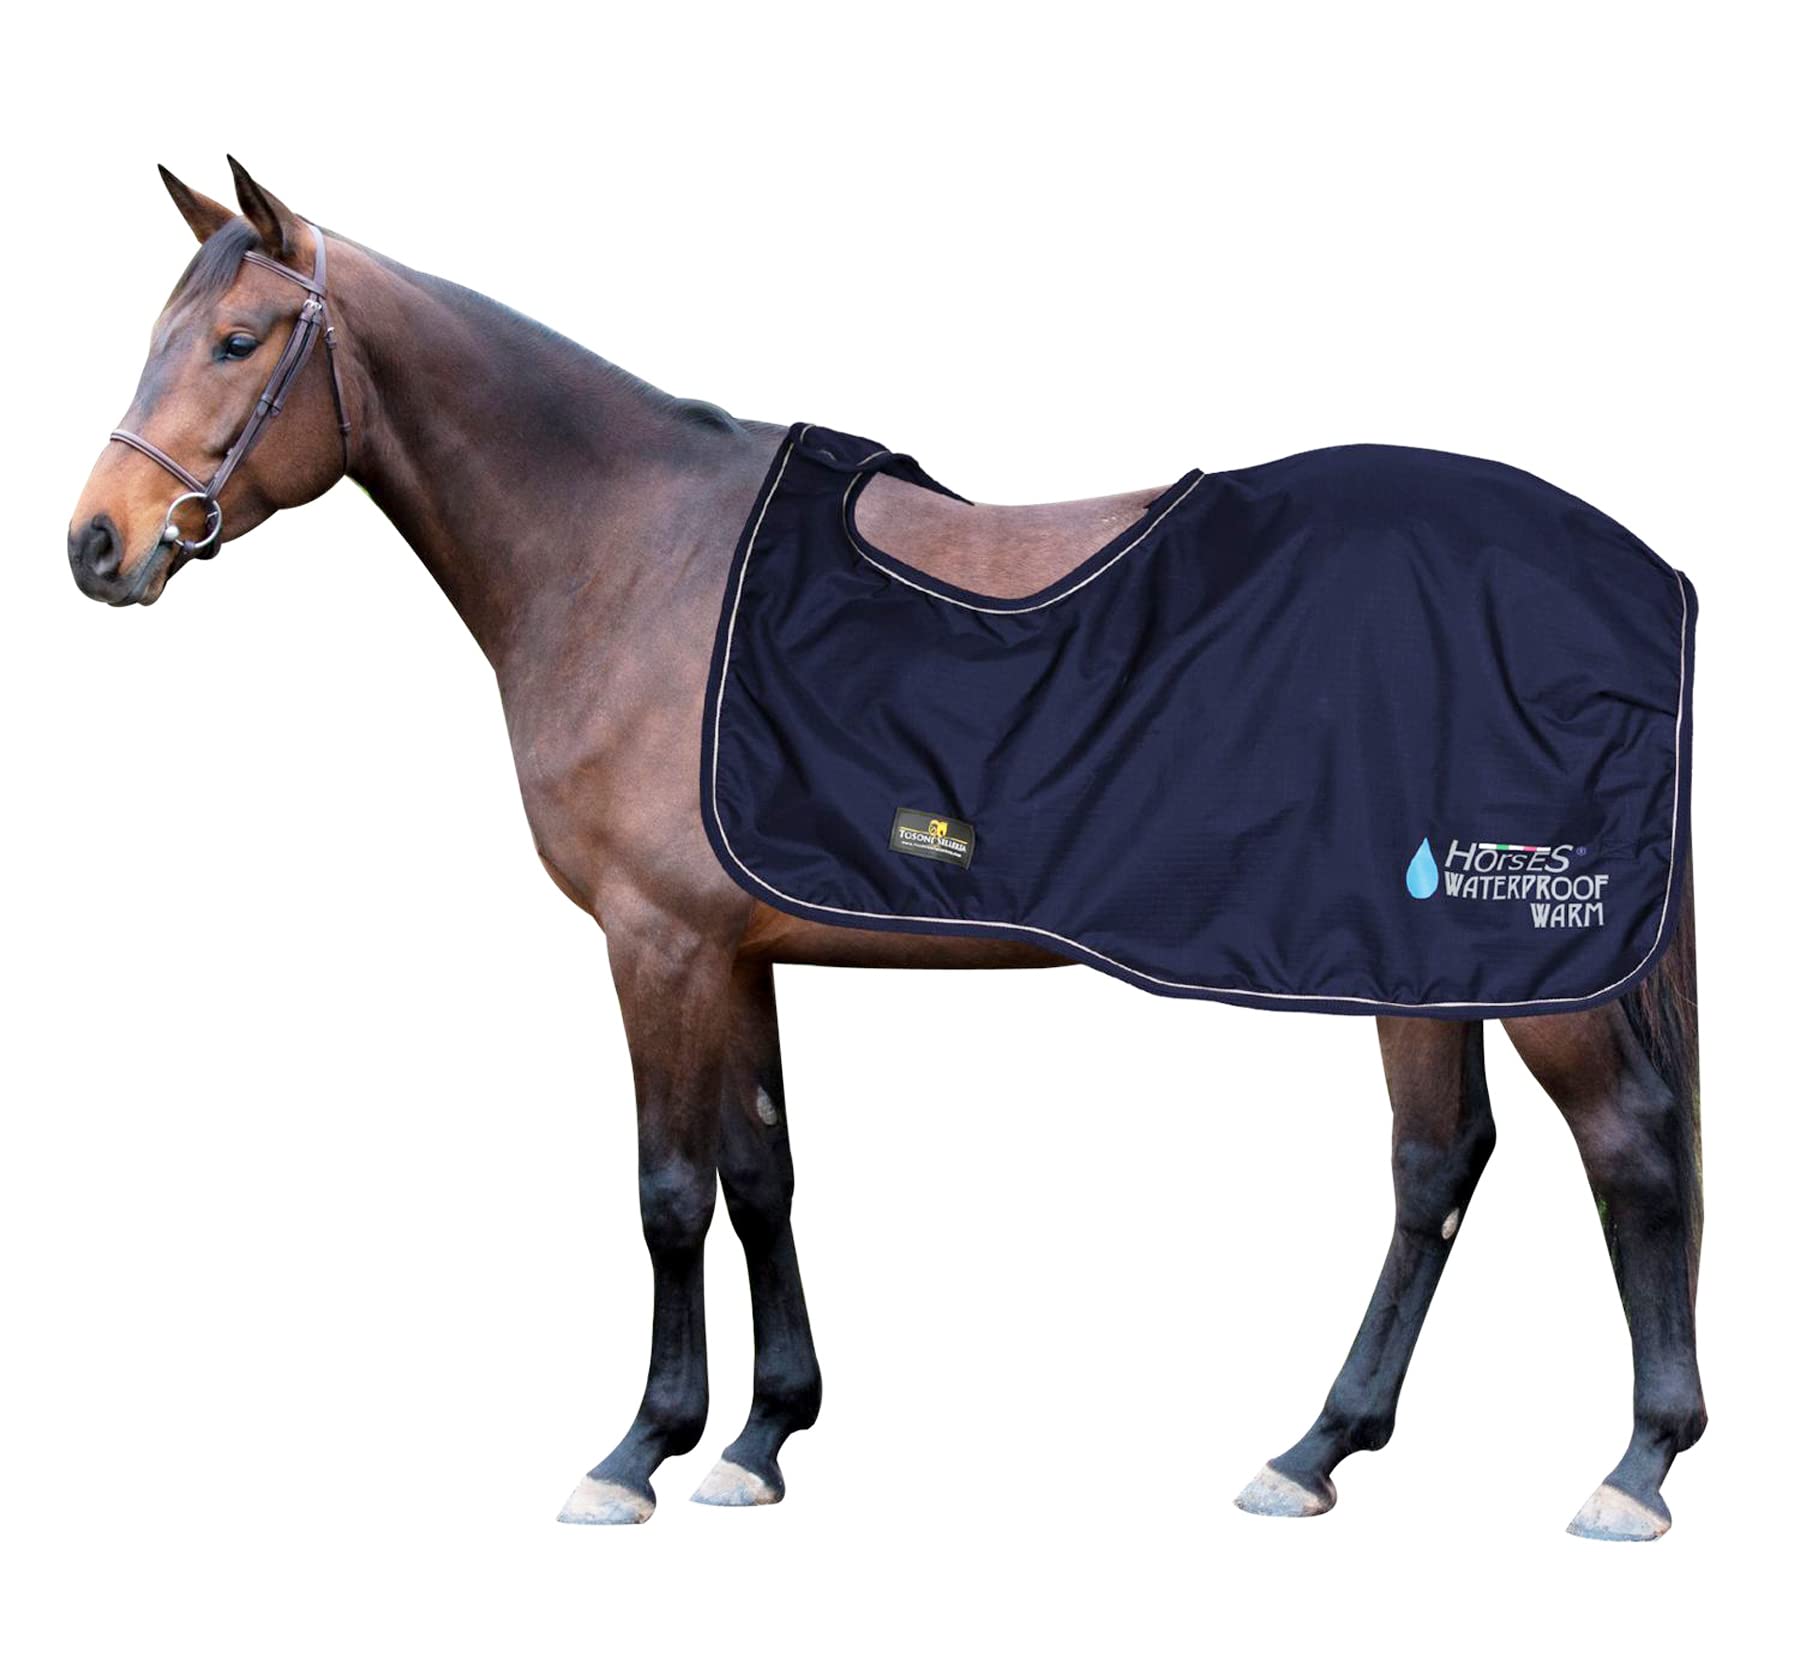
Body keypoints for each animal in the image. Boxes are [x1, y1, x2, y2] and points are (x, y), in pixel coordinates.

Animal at [66, 161, 1705, 1541]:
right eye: (160, 335)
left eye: (237, 342)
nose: (96, 545)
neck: (631, 557)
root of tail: (1634, 569)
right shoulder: (735, 950)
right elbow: (762, 1174)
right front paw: (760, 1439)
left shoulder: (654, 944)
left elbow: (669, 1194)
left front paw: (637, 1452)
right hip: (1416, 964)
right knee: (1441, 1165)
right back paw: (1317, 1451)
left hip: (1522, 963)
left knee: (1624, 1149)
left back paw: (1634, 1469)